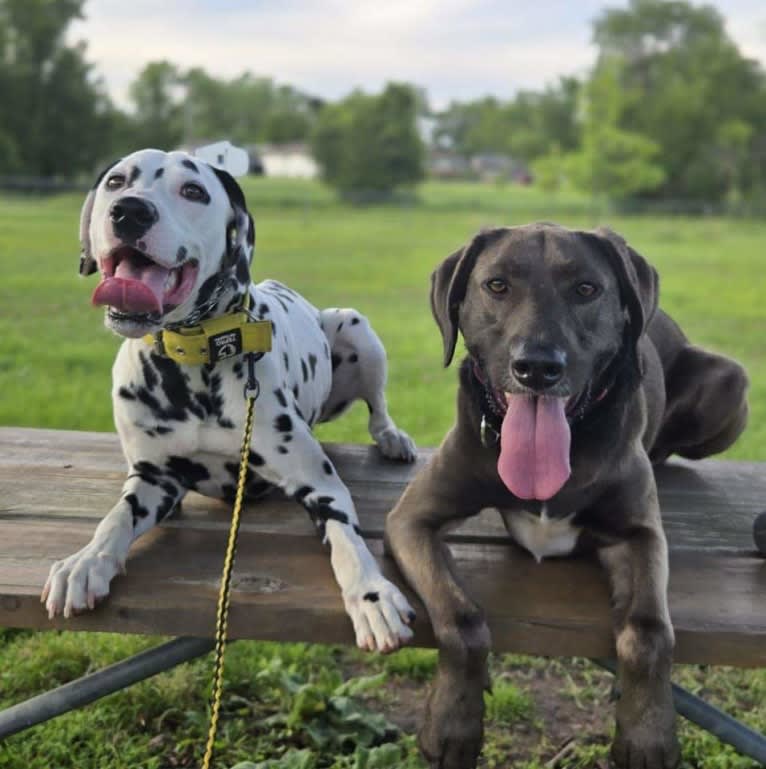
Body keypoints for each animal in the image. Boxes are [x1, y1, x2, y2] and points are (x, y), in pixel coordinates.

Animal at [40, 148, 420, 648]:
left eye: (193, 191)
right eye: (117, 181)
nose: (129, 211)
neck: (194, 360)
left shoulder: (321, 486)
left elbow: (348, 542)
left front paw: (372, 594)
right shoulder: (154, 481)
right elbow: (116, 519)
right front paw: (85, 561)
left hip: (354, 327)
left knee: (378, 408)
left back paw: (393, 438)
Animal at [388, 225, 748, 768]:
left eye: (585, 289)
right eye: (497, 285)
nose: (537, 367)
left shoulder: (639, 535)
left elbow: (649, 632)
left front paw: (648, 734)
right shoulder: (412, 519)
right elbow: (461, 618)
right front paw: (452, 723)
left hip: (730, 382)